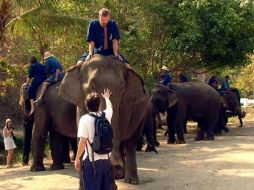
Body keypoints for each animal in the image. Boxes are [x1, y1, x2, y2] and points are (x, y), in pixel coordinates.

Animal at [58, 54, 148, 184]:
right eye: (91, 86)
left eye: (122, 87)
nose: (115, 165)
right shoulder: (80, 105)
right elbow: (82, 136)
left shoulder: (126, 103)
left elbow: (120, 126)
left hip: (143, 114)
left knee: (131, 143)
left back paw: (130, 180)